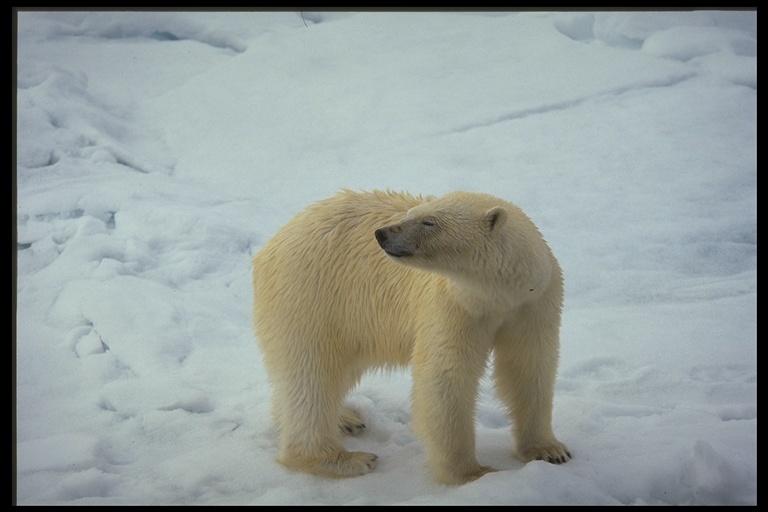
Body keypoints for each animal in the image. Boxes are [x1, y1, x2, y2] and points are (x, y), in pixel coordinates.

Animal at [254, 188, 568, 484]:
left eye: (429, 221)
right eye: (412, 213)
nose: (381, 234)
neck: (499, 297)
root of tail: (274, 241)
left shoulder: (533, 305)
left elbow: (529, 366)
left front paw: (550, 450)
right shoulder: (455, 306)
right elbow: (446, 378)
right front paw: (472, 472)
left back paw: (344, 419)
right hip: (312, 297)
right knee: (312, 375)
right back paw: (345, 458)